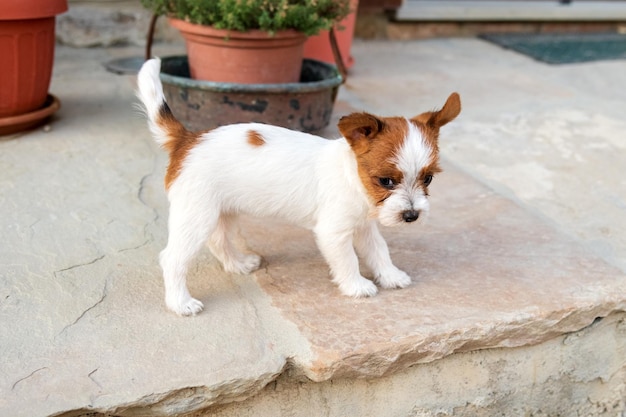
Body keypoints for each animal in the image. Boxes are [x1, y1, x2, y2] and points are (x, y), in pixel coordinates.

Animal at [136, 57, 458, 316]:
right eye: (386, 181)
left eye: (428, 178)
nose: (411, 216)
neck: (353, 178)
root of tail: (187, 139)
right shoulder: (334, 233)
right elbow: (349, 260)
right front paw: (356, 286)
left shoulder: (365, 226)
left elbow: (379, 251)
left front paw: (390, 276)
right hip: (196, 216)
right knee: (172, 259)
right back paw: (180, 303)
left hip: (221, 211)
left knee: (219, 241)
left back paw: (238, 264)